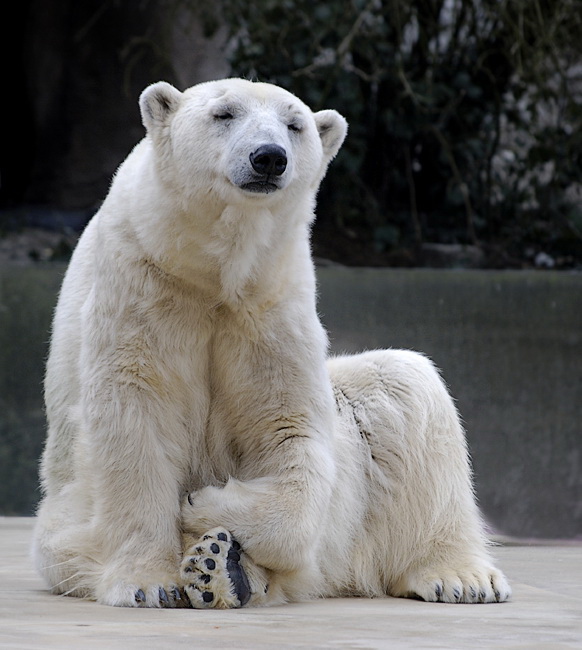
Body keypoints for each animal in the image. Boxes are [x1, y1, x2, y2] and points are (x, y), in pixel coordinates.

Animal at [30, 77, 512, 608]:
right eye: (223, 114)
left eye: (294, 124)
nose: (268, 158)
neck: (211, 271)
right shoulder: (139, 287)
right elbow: (135, 415)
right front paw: (148, 582)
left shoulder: (272, 304)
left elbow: (288, 427)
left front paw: (207, 507)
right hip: (58, 532)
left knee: (404, 382)